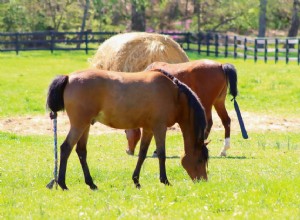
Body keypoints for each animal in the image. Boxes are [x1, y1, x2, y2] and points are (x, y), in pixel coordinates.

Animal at [46, 68, 209, 189]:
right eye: (200, 159)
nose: (203, 181)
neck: (174, 94)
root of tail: (68, 78)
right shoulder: (159, 128)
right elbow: (162, 154)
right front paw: (165, 180)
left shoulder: (148, 129)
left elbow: (142, 154)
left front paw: (136, 181)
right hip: (79, 125)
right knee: (65, 148)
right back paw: (62, 184)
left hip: (85, 126)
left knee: (81, 151)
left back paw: (91, 184)